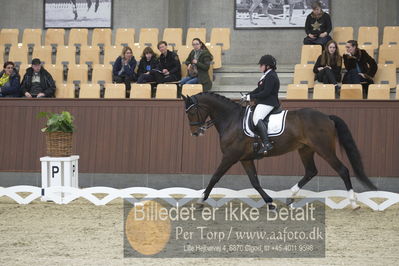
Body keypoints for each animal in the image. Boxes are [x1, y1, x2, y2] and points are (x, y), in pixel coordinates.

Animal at [184, 93, 378, 210]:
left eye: (192, 112)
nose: (195, 133)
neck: (231, 120)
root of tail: (327, 117)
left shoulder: (230, 156)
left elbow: (215, 177)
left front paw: (201, 200)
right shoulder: (245, 159)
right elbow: (255, 182)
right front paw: (270, 203)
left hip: (324, 149)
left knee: (342, 170)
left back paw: (353, 203)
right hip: (305, 150)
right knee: (311, 171)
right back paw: (290, 197)